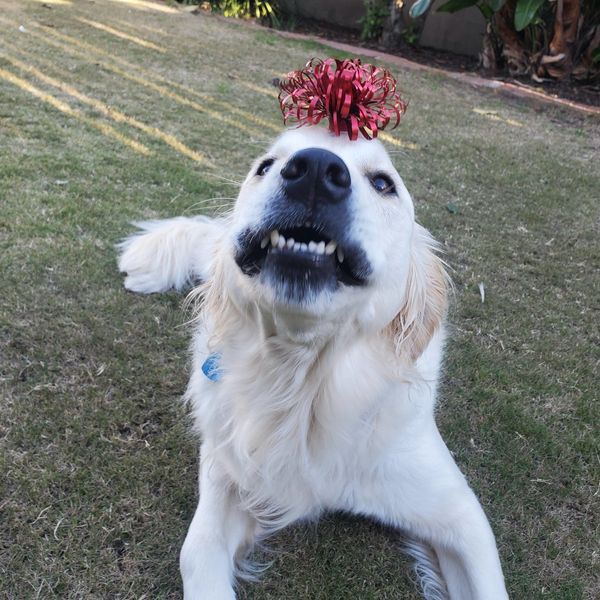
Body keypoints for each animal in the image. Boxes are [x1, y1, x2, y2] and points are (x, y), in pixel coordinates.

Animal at [118, 126, 509, 600]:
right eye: (265, 166)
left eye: (383, 183)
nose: (316, 172)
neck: (303, 381)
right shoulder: (226, 465)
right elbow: (195, 552)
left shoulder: (459, 514)